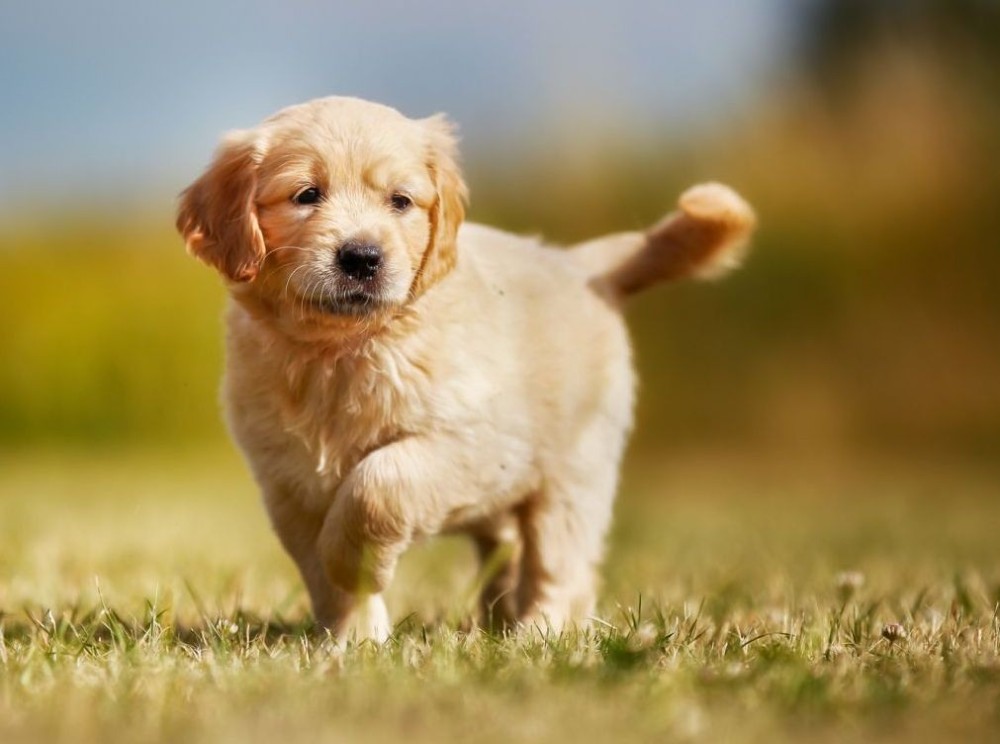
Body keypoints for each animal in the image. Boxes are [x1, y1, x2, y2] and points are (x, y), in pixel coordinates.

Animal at [178, 96, 756, 644]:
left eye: (401, 201)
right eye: (306, 195)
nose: (362, 257)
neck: (341, 350)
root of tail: (577, 263)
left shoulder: (472, 442)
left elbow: (376, 486)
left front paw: (357, 567)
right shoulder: (287, 483)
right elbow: (322, 573)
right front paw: (353, 640)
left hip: (574, 471)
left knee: (560, 567)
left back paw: (537, 635)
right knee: (510, 552)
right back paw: (499, 622)